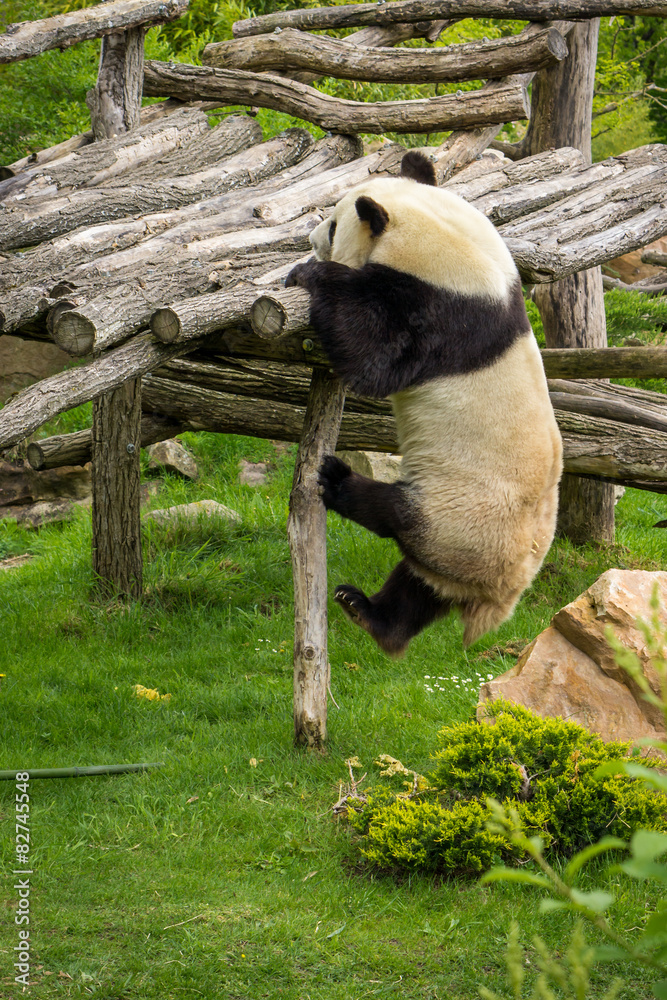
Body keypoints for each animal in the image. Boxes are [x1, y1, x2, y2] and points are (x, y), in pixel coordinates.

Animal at [285, 150, 563, 657]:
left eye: (333, 226)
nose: (311, 241)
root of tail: (502, 591)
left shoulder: (437, 312)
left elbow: (371, 351)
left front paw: (310, 275)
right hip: (458, 553)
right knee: (421, 586)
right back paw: (369, 614)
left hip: (463, 514)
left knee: (397, 517)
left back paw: (339, 482)